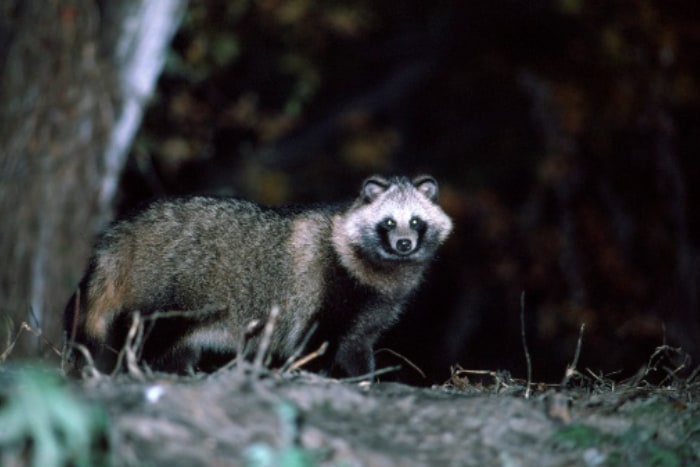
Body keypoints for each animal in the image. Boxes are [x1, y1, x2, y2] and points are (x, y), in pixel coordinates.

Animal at [63, 175, 452, 376]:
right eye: (388, 222)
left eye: (416, 221)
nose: (404, 244)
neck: (382, 267)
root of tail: (132, 226)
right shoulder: (329, 286)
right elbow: (315, 342)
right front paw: (311, 374)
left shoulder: (371, 310)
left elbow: (357, 348)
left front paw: (363, 379)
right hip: (172, 285)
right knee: (149, 329)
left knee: (175, 348)